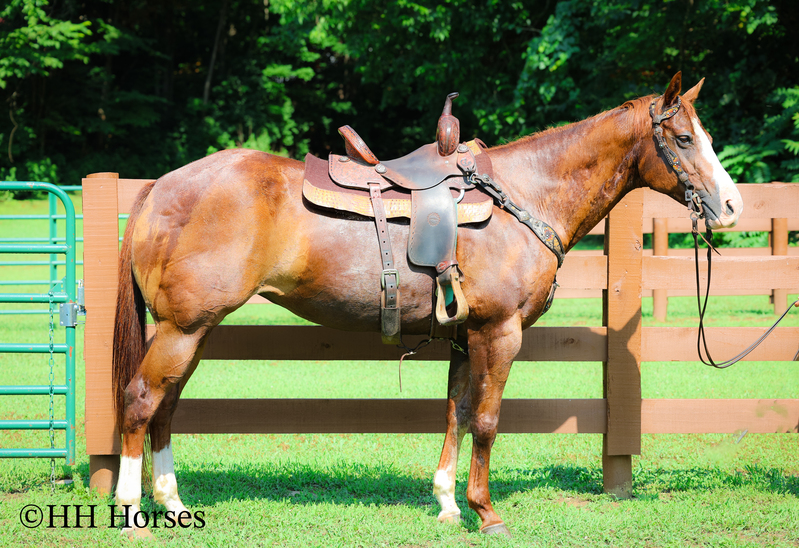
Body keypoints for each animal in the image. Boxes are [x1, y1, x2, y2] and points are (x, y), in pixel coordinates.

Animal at [111, 72, 742, 536]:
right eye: (685, 139)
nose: (732, 206)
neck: (524, 196)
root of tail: (161, 185)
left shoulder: (466, 336)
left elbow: (456, 413)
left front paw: (448, 504)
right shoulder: (499, 332)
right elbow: (486, 420)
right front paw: (486, 513)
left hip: (194, 330)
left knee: (166, 407)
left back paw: (172, 504)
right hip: (182, 328)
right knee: (142, 401)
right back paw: (131, 509)